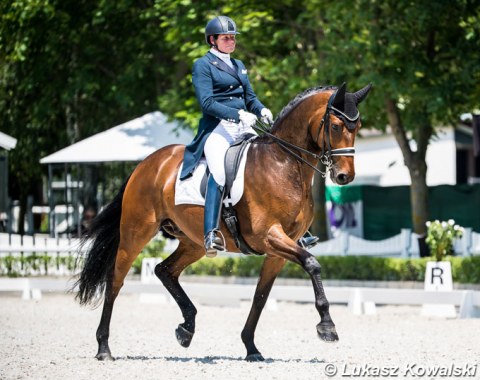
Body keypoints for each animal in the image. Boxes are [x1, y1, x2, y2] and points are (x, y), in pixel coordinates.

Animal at [75, 82, 372, 362]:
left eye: (357, 126)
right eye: (336, 126)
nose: (345, 176)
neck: (284, 163)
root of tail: (146, 163)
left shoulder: (279, 249)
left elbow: (260, 297)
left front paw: (251, 347)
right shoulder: (269, 236)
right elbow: (312, 264)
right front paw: (327, 326)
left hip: (193, 242)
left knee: (164, 270)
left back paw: (187, 328)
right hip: (136, 233)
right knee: (115, 281)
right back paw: (104, 347)